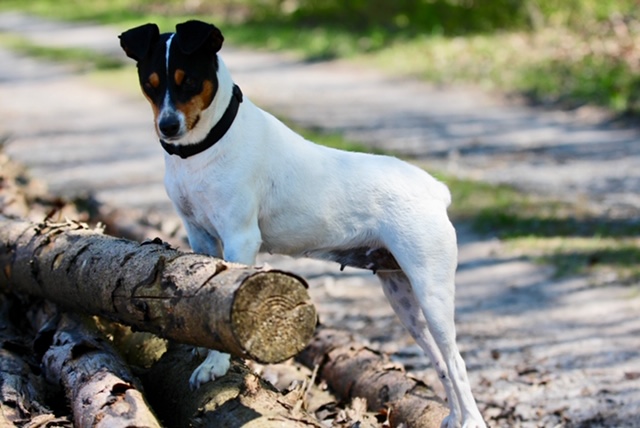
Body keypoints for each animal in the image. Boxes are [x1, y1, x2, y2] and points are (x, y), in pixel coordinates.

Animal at [120, 20, 486, 428]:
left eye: (190, 82)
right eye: (150, 83)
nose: (168, 127)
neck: (206, 146)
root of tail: (435, 189)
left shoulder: (240, 237)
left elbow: (223, 308)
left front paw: (216, 365)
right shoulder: (200, 237)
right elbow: (204, 300)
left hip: (431, 289)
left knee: (456, 361)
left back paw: (471, 419)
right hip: (403, 297)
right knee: (440, 362)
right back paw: (452, 416)